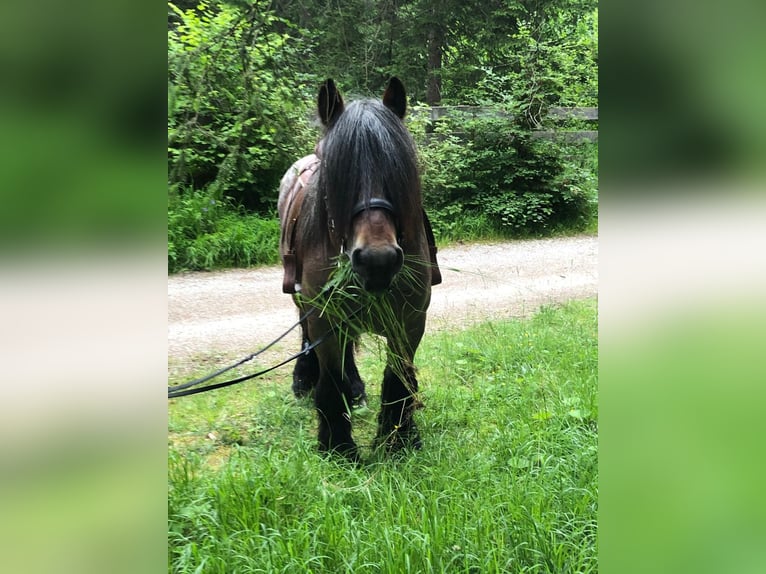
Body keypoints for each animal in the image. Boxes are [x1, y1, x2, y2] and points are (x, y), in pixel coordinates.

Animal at [280, 77, 440, 464]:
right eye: (338, 176)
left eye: (398, 171)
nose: (377, 260)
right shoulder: (325, 316)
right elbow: (330, 379)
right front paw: (337, 444)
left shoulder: (410, 321)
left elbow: (399, 378)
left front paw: (399, 438)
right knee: (307, 334)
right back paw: (305, 378)